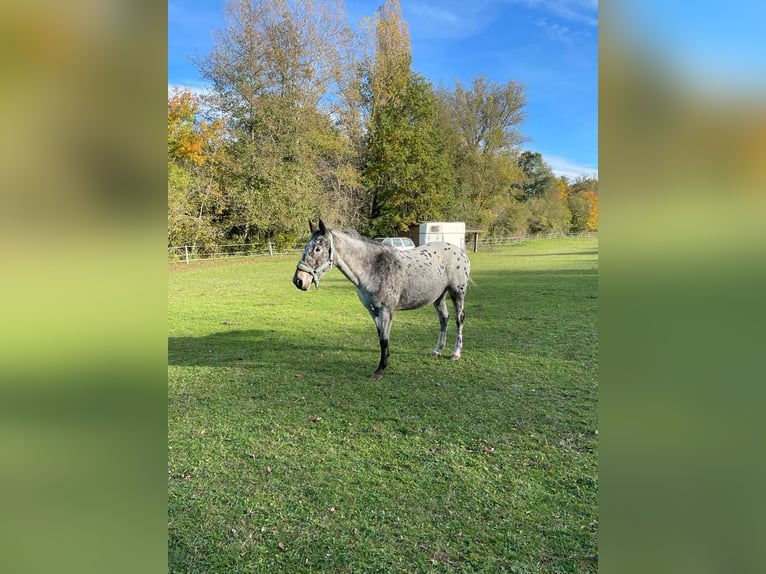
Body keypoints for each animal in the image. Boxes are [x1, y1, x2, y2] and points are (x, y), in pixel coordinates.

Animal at [294, 223, 472, 380]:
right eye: (305, 247)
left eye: (317, 249)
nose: (299, 281)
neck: (373, 268)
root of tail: (460, 251)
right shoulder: (373, 310)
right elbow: (381, 336)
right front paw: (386, 360)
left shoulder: (386, 310)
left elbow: (383, 339)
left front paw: (380, 369)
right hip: (438, 297)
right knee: (444, 319)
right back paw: (437, 351)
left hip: (458, 293)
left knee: (459, 320)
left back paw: (455, 354)